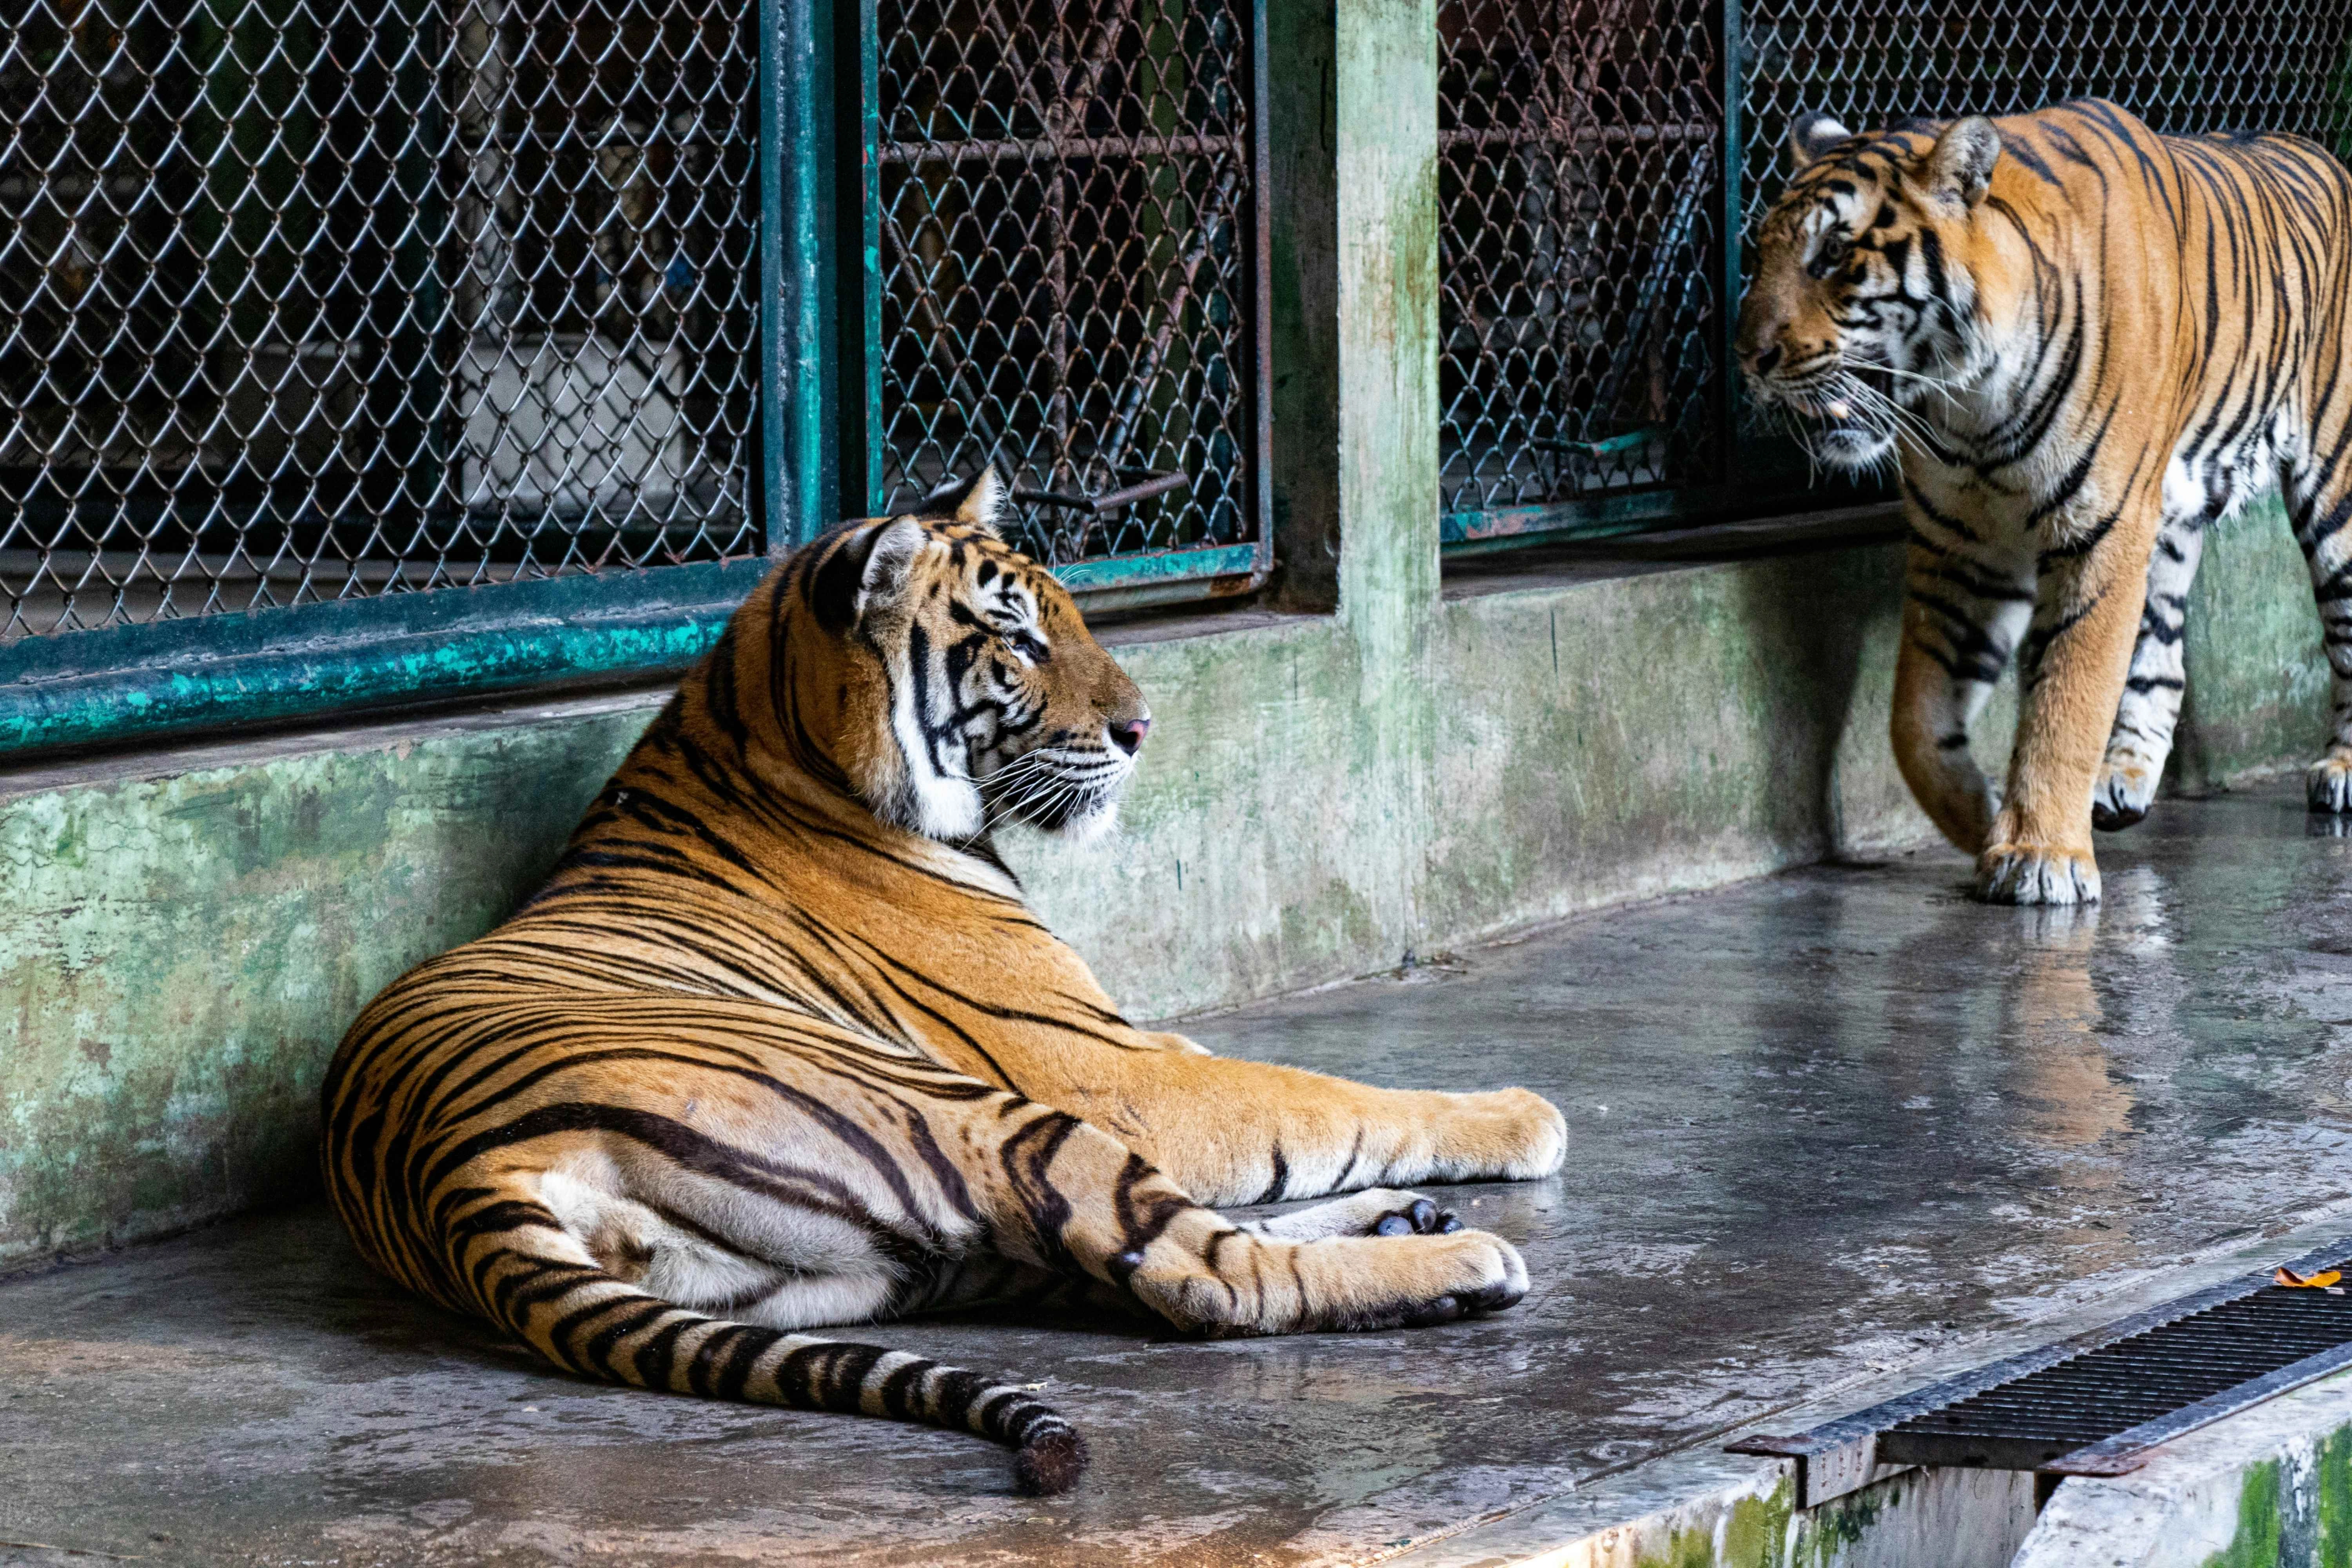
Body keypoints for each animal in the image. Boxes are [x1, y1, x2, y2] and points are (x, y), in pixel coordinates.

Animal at [318, 468, 1568, 1495]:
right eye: (1018, 641)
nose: (1142, 729)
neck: (777, 736)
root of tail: (455, 1176)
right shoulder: (1108, 1071)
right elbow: (1325, 1097)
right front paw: (1520, 1114)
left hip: (865, 1270)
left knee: (1139, 1255)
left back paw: (1402, 1224)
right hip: (982, 1121)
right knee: (1207, 1277)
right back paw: (1457, 1259)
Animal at [1735, 98, 2352, 905]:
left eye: (1836, 254)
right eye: (1758, 256)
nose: (1748, 357)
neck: (1968, 405)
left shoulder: (2102, 529)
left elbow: (2069, 695)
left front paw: (2041, 853)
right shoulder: (1961, 546)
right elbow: (1914, 721)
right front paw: (1981, 819)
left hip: (2333, 483)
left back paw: (2340, 772)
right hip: (2170, 521)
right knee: (2163, 656)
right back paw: (2122, 781)